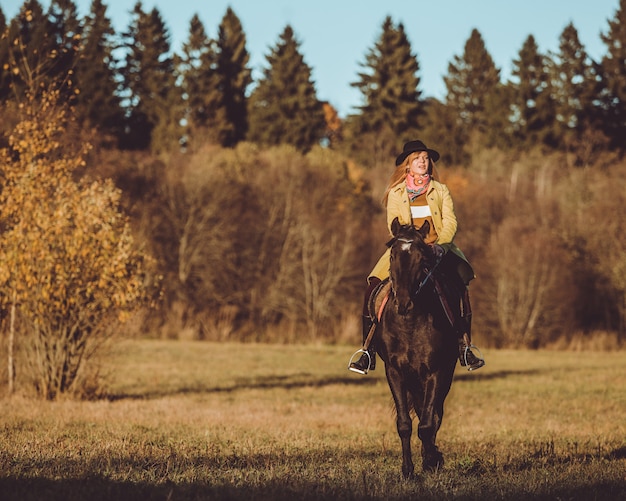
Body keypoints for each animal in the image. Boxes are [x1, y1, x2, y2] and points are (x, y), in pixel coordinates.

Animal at [372, 217, 456, 478]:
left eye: (422, 258)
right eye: (392, 255)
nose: (403, 302)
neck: (409, 321)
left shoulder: (436, 372)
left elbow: (428, 423)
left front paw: (431, 461)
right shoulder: (395, 372)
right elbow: (405, 424)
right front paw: (408, 470)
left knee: (435, 414)